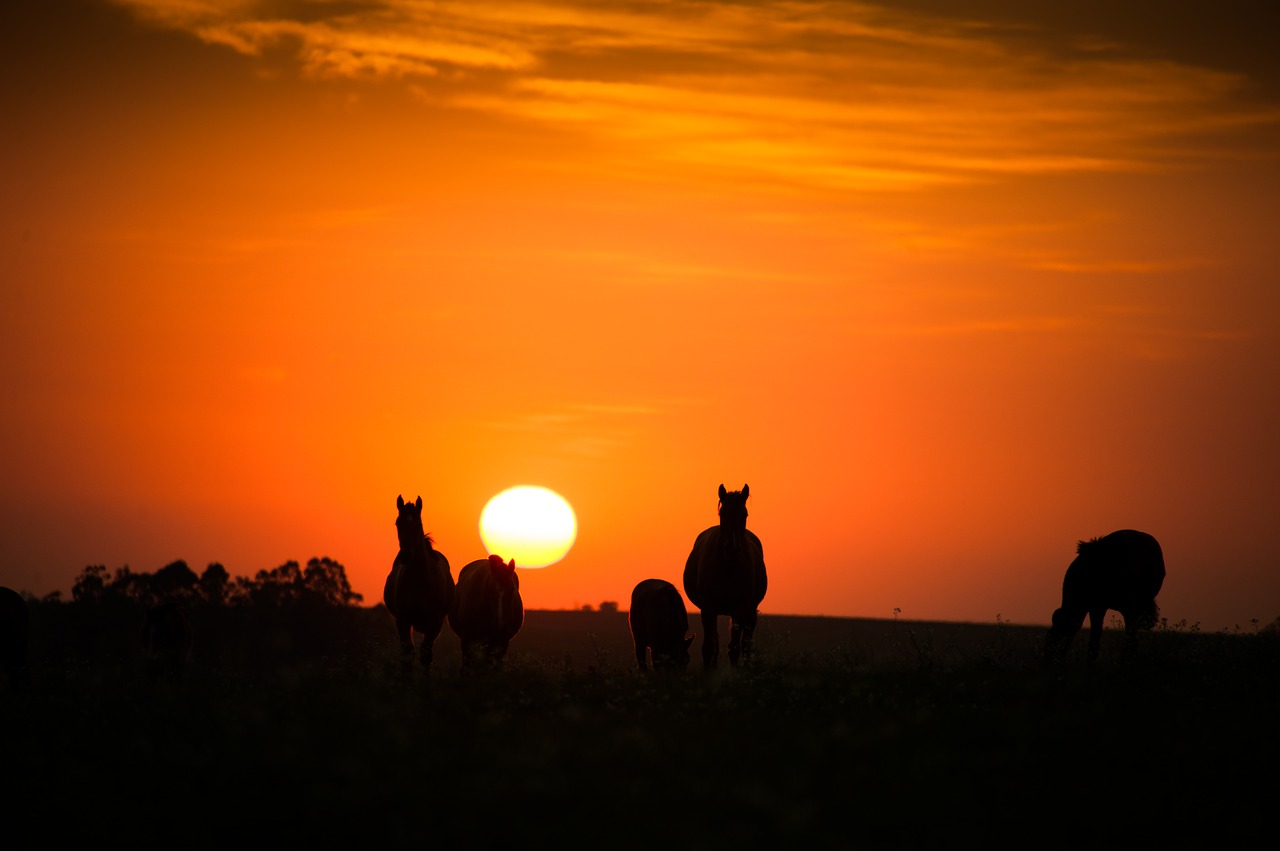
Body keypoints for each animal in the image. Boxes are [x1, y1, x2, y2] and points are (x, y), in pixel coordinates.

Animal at [381, 493, 458, 675]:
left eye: (417, 525)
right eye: (398, 523)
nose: (406, 555)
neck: (420, 580)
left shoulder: (434, 622)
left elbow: (426, 654)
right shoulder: (402, 620)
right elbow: (407, 655)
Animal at [680, 481, 768, 665]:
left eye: (744, 514)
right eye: (723, 513)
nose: (732, 548)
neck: (727, 568)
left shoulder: (739, 609)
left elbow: (734, 648)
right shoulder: (708, 609)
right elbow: (708, 647)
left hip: (750, 612)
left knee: (746, 643)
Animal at [1044, 524, 1167, 665]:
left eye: (1059, 636)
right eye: (1048, 638)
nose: (1048, 659)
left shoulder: (1127, 608)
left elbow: (1128, 642)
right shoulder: (1096, 608)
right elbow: (1094, 641)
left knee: (1131, 640)